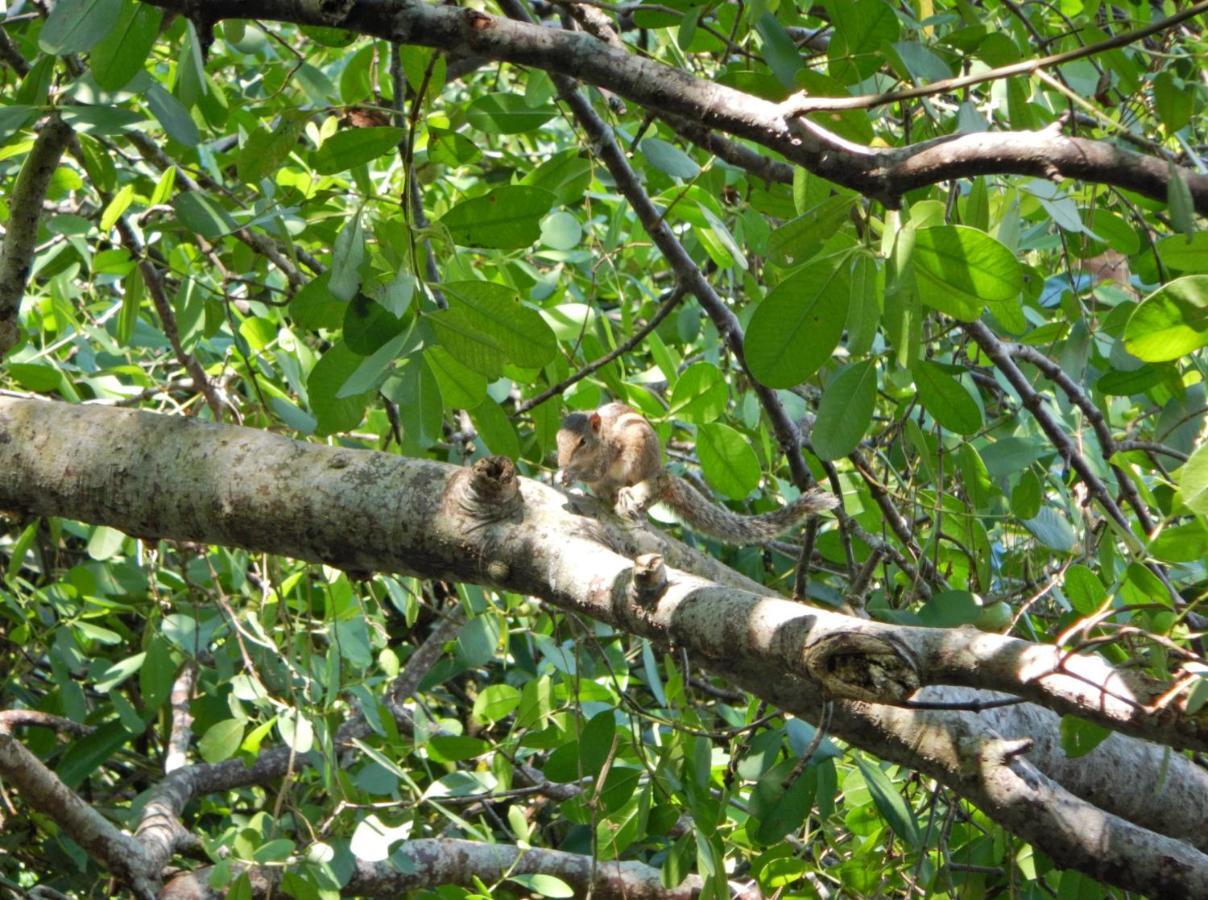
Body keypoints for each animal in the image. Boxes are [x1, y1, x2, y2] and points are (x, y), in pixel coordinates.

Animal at [555, 403, 840, 543]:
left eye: (582, 441)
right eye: (558, 438)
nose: (560, 461)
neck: (601, 438)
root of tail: (660, 470)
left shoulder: (610, 451)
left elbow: (596, 470)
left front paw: (571, 475)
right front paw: (561, 475)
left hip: (639, 460)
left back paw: (623, 491)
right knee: (605, 492)